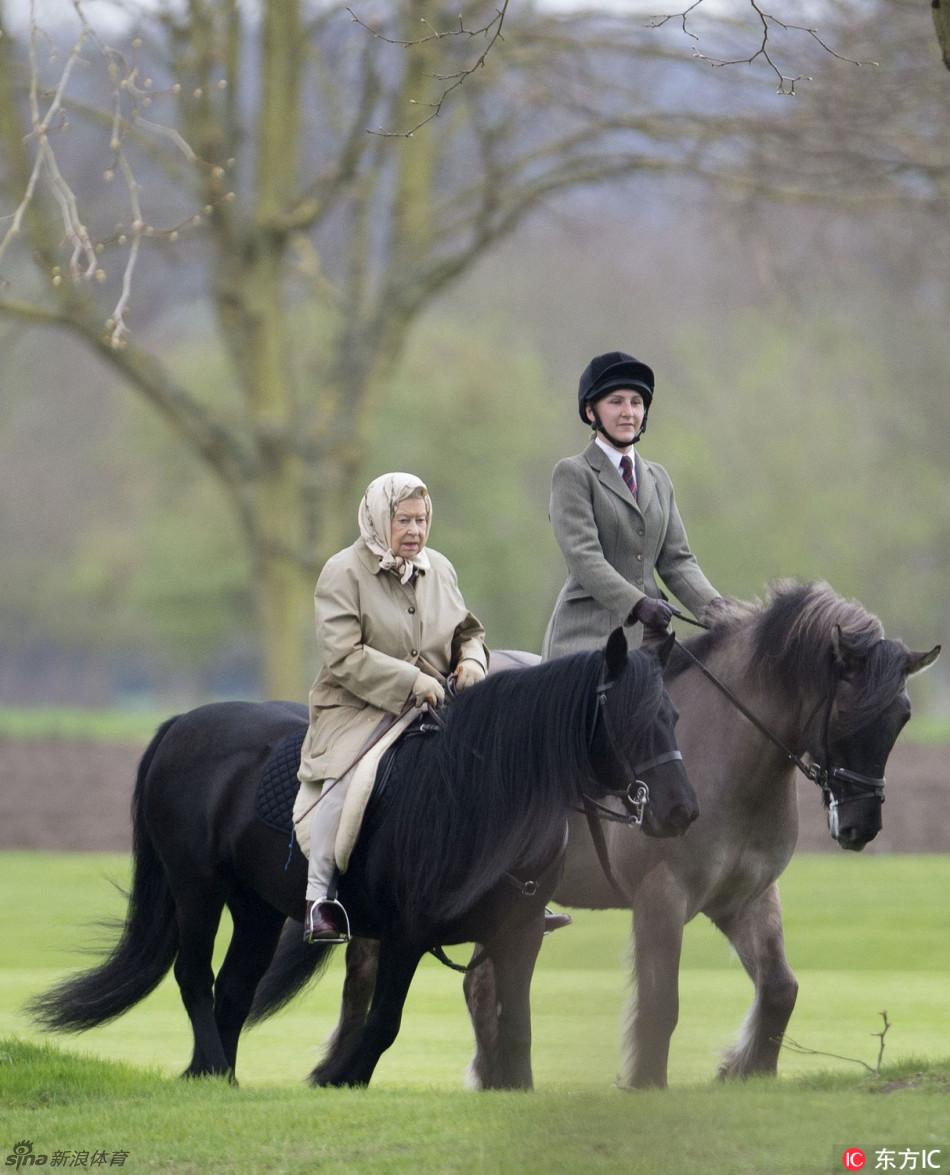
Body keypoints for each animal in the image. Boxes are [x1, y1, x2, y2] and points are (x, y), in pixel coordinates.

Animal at [31, 629, 695, 1085]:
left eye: (673, 715)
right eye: (628, 719)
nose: (681, 810)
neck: (480, 801)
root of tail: (181, 725)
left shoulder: (519, 936)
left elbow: (517, 1030)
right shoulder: (406, 936)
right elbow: (383, 1024)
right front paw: (338, 1078)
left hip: (256, 908)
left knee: (234, 988)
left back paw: (213, 1077)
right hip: (196, 888)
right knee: (195, 975)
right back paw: (215, 1069)